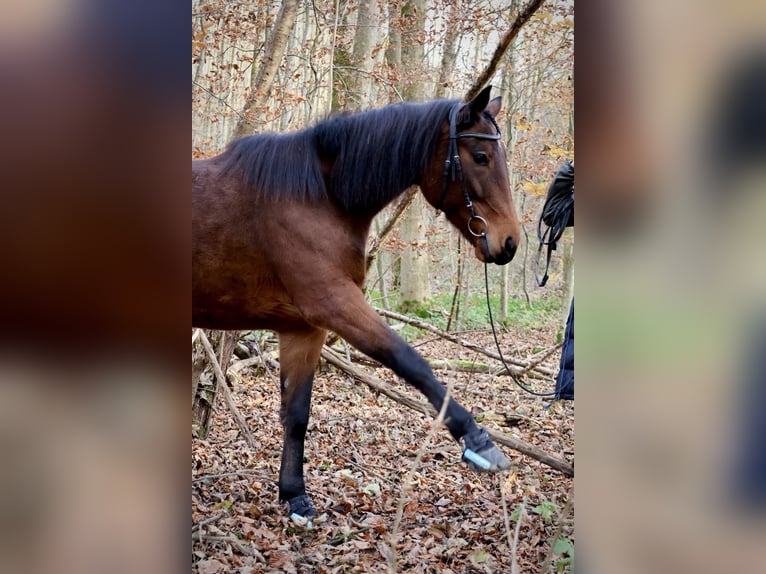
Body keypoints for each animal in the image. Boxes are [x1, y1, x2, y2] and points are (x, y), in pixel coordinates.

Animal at [195, 86, 524, 528]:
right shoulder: (336, 303)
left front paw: (295, 497)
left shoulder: (303, 329)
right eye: (481, 157)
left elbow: (296, 414)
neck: (319, 196)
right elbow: (410, 361)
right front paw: (478, 441)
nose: (509, 242)